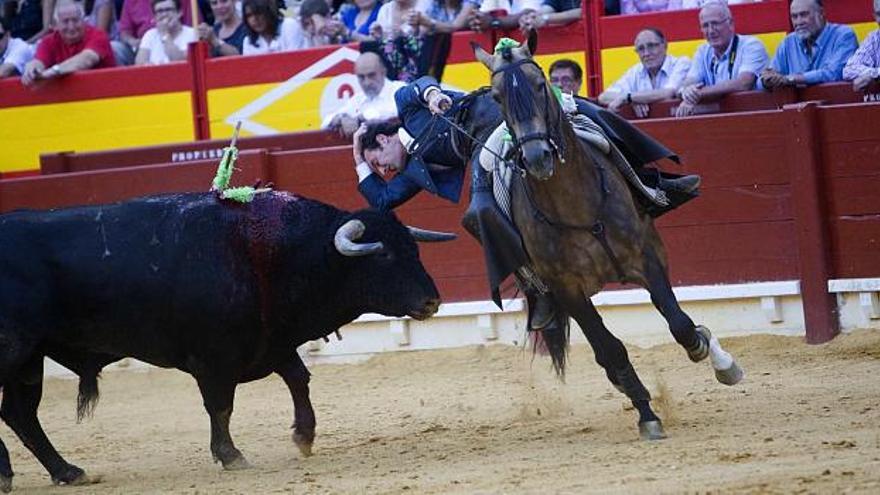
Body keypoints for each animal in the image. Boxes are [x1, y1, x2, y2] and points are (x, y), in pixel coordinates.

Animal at [0, 192, 446, 490]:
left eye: (413, 248)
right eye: (383, 255)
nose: (432, 301)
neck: (272, 252)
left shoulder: (272, 341)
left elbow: (298, 379)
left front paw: (304, 437)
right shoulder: (213, 360)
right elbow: (221, 406)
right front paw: (231, 455)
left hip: (29, 362)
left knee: (20, 415)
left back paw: (64, 471)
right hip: (15, 353)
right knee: (17, 415)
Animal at [474, 32, 744, 442]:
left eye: (540, 84)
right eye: (496, 95)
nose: (537, 157)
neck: (575, 202)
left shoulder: (646, 257)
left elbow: (681, 324)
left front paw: (711, 353)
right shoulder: (568, 290)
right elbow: (611, 349)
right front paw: (646, 413)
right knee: (605, 352)